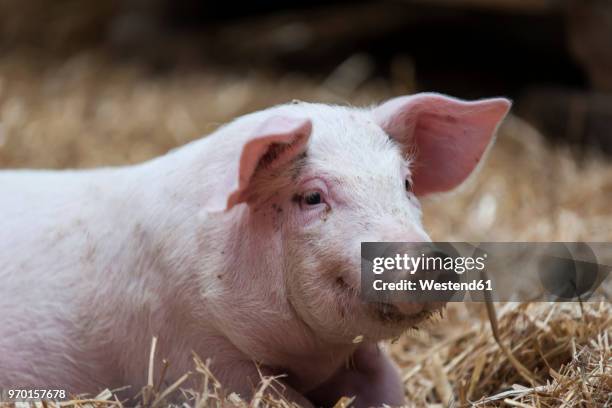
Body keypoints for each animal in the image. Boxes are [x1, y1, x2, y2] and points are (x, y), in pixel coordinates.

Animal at [0, 94, 510, 406]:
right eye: (312, 196)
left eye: (405, 183)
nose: (431, 259)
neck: (309, 356)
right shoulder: (191, 352)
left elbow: (389, 385)